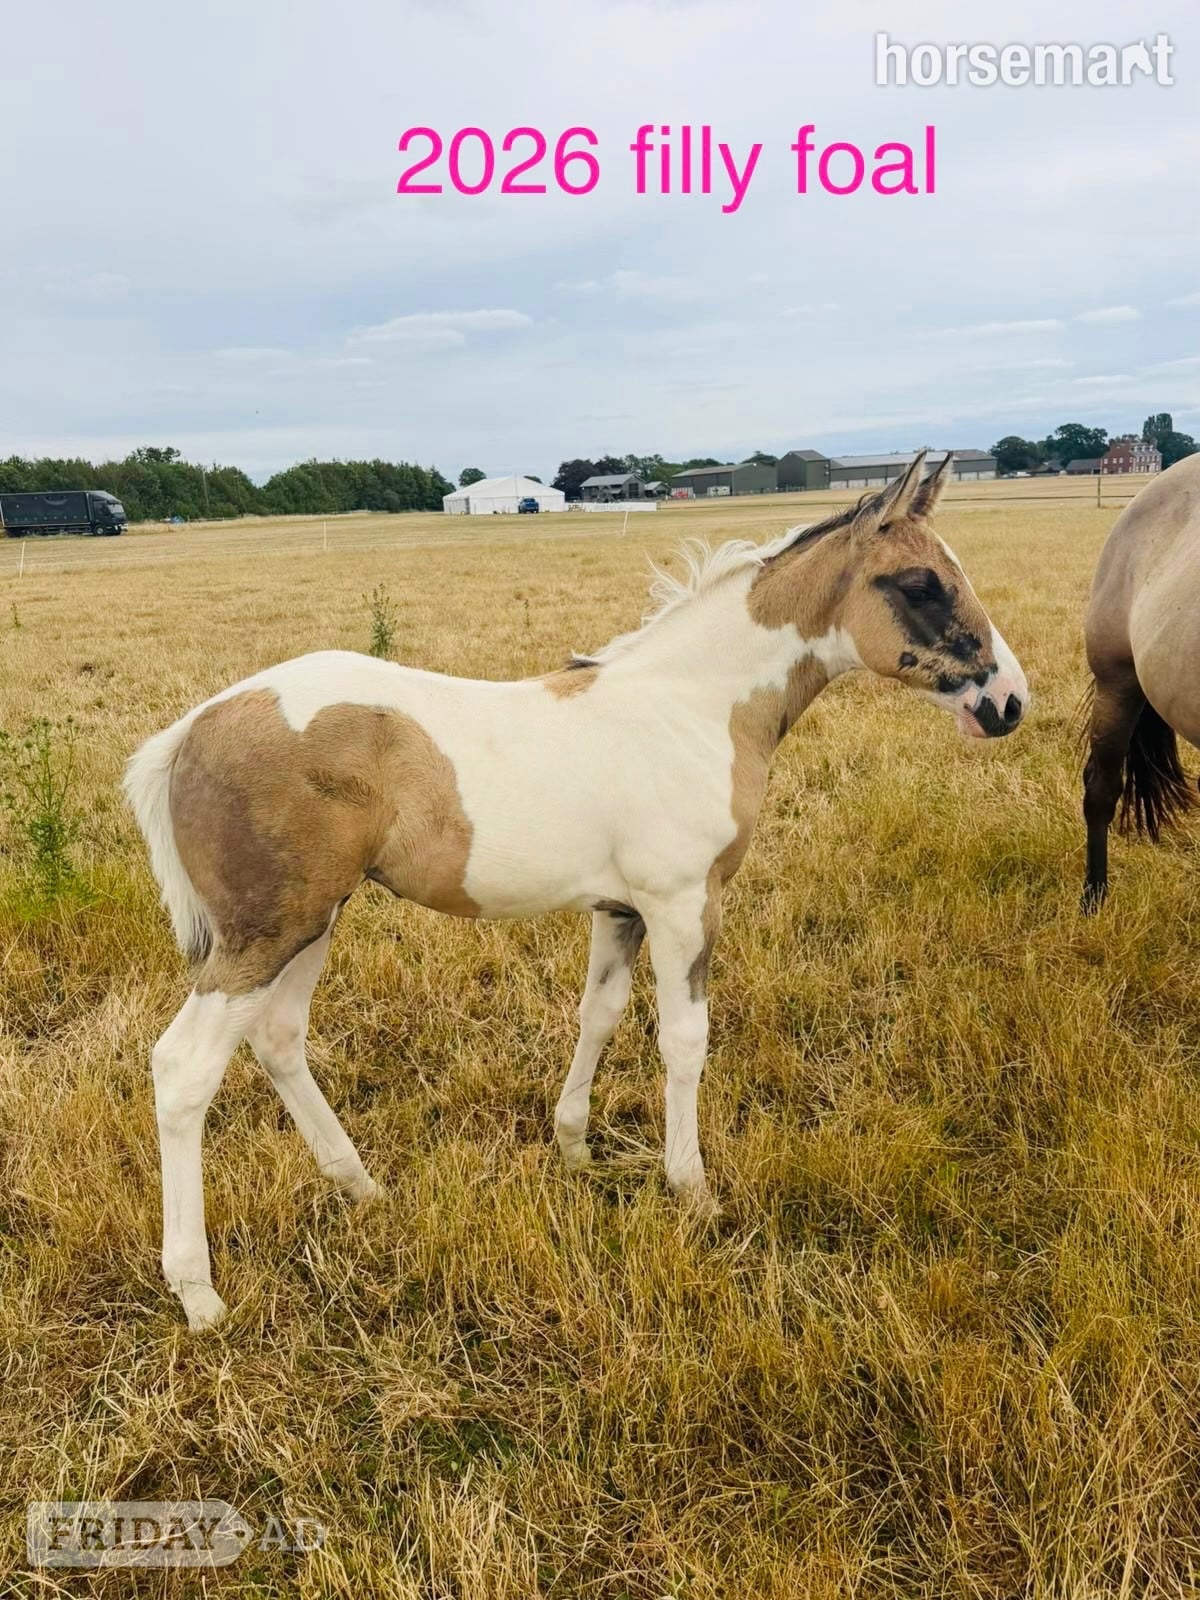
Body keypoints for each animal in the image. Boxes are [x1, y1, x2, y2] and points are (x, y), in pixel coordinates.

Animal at [125, 449, 1028, 1329]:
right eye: (920, 583)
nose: (1008, 702)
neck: (693, 707)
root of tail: (190, 729)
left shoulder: (621, 909)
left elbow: (599, 1014)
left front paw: (574, 1147)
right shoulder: (683, 903)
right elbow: (684, 1040)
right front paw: (692, 1191)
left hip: (314, 920)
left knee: (278, 1038)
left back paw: (362, 1189)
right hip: (268, 931)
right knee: (184, 1068)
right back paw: (198, 1292)